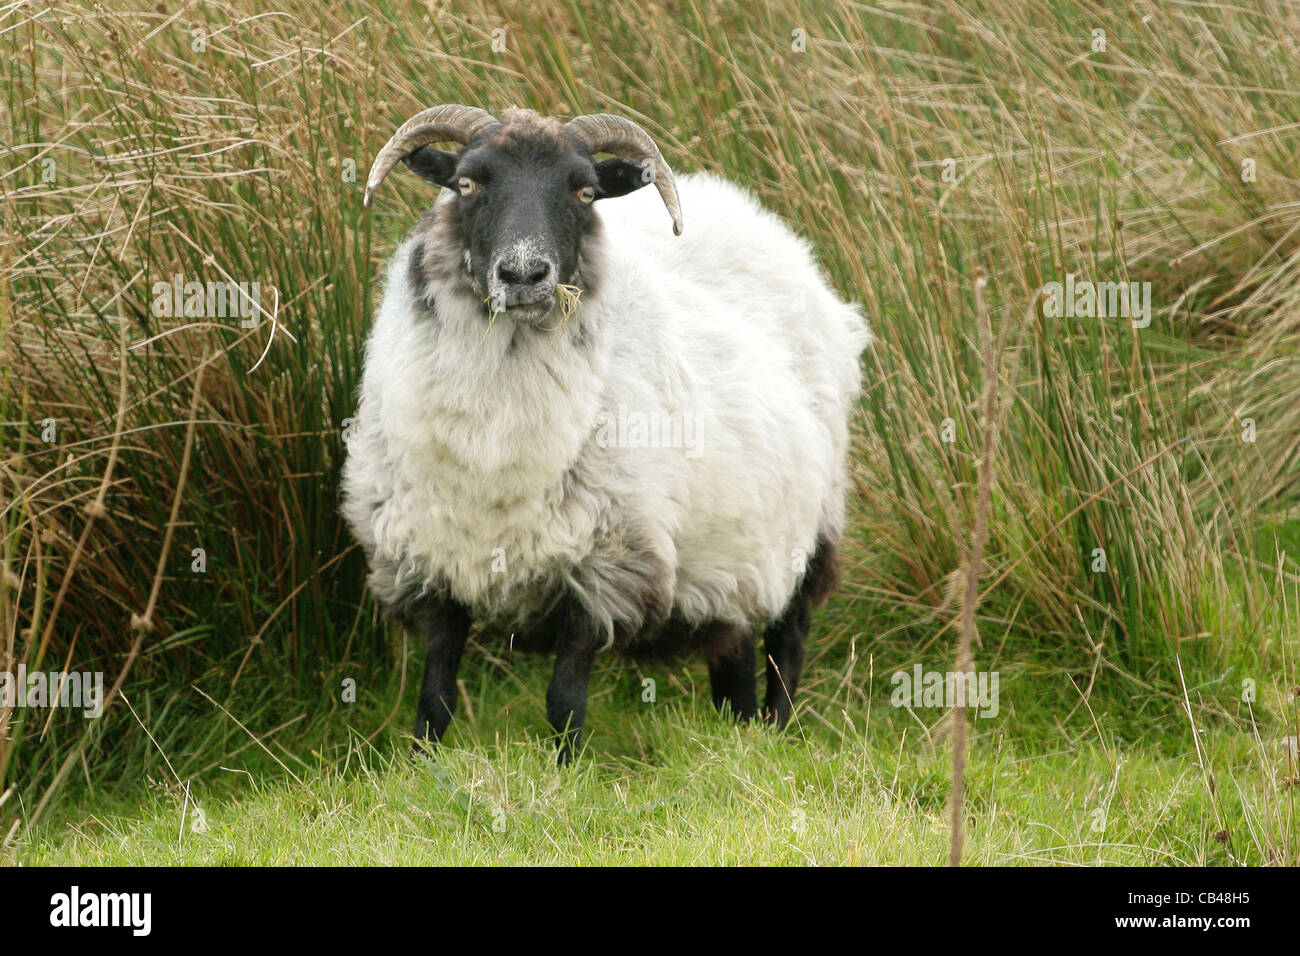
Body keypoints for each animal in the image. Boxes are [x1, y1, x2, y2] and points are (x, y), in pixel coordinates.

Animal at [345, 104, 873, 764]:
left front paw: (567, 774)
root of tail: (756, 218)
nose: (524, 274)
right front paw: (423, 768)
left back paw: (774, 735)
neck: (493, 445)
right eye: (466, 183)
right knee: (734, 660)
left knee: (787, 646)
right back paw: (741, 741)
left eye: (585, 192)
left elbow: (563, 699)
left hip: (809, 530)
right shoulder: (432, 561)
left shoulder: (605, 565)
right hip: (731, 553)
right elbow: (435, 698)